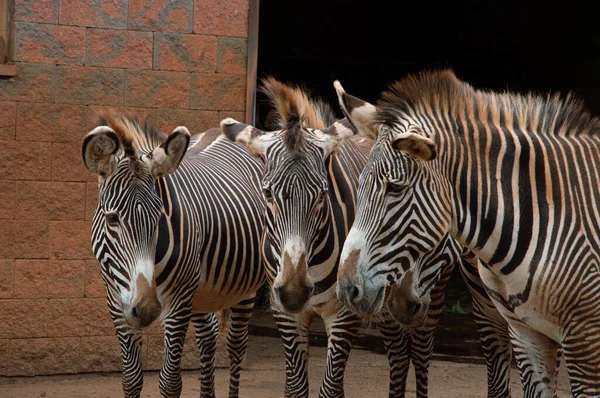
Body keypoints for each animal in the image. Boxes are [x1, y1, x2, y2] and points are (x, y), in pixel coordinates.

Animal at [81, 113, 264, 396]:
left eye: (159, 217)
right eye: (112, 219)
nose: (146, 310)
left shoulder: (178, 303)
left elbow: (170, 382)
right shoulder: (116, 299)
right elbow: (131, 379)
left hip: (245, 285)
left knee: (236, 345)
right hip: (201, 292)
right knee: (208, 337)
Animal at [219, 78, 454, 398]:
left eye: (322, 194)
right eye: (266, 193)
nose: (294, 292)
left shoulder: (344, 313)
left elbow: (328, 388)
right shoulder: (286, 314)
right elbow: (297, 386)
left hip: (427, 289)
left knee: (419, 350)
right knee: (398, 352)